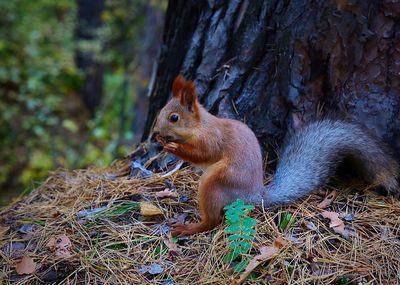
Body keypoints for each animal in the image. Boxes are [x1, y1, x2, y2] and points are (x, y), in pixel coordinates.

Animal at [152, 75, 398, 235]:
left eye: (174, 117)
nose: (155, 132)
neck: (200, 126)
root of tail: (254, 195)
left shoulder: (213, 138)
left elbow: (203, 154)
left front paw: (173, 147)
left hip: (216, 182)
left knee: (213, 220)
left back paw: (190, 228)